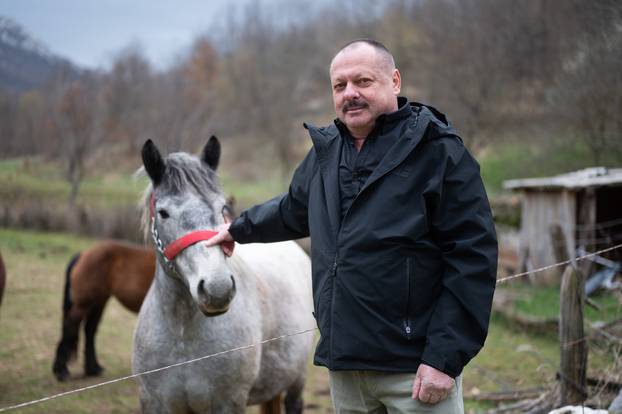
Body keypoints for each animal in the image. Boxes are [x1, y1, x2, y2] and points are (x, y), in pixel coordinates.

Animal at [53, 239, 156, 382]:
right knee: (70, 327)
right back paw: (61, 371)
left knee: (89, 330)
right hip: (83, 305)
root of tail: (83, 254)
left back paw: (93, 369)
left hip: (98, 302)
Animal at [133, 137, 314, 412]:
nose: (217, 289)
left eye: (222, 207)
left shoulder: (228, 403)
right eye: (163, 213)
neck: (182, 336)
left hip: (297, 380)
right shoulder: (154, 403)